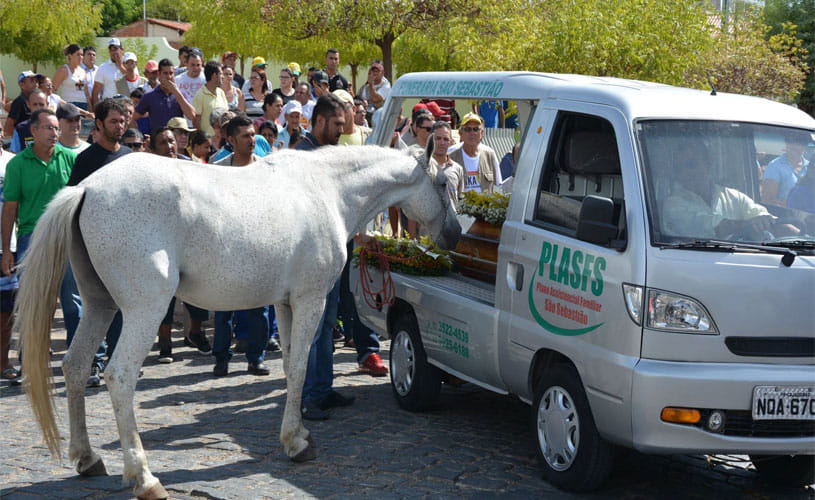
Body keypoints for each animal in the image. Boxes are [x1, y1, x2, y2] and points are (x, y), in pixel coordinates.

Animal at [18, 145, 460, 500]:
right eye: (442, 183)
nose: (455, 234)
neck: (327, 191)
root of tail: (86, 189)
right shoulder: (311, 299)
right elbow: (302, 367)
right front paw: (297, 444)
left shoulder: (284, 304)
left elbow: (289, 368)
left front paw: (297, 435)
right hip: (144, 310)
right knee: (120, 377)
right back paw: (144, 478)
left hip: (99, 306)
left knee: (75, 367)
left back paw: (87, 458)